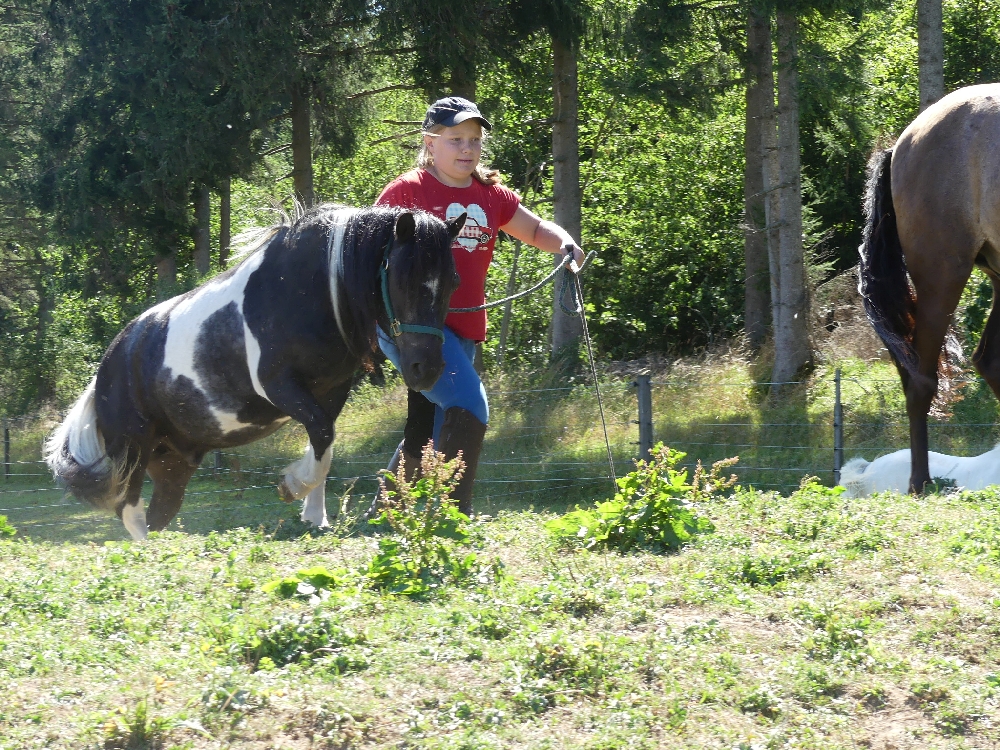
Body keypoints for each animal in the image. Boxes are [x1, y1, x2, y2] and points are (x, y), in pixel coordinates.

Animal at [45, 204, 464, 540]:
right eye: (401, 279)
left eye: (453, 281)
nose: (426, 370)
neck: (312, 292)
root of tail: (103, 373)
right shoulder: (279, 386)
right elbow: (321, 437)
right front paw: (292, 485)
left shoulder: (332, 391)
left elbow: (324, 445)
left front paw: (315, 517)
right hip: (132, 453)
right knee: (130, 512)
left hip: (172, 465)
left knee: (157, 513)